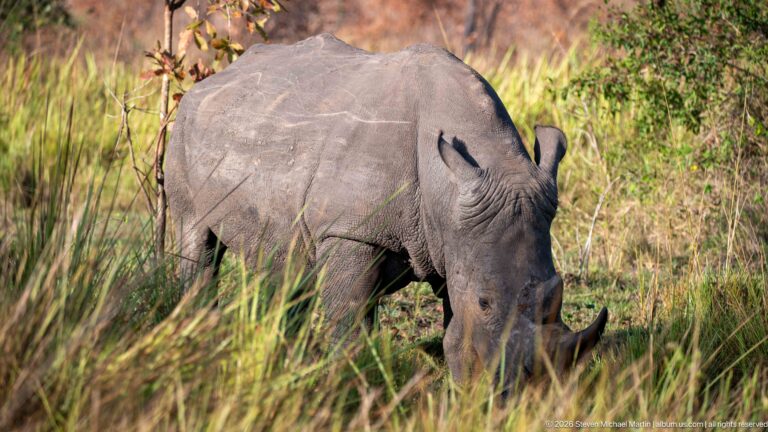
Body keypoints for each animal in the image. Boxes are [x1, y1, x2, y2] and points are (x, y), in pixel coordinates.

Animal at [167, 33, 608, 392]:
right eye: (485, 302)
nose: (530, 392)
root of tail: (210, 80)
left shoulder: (454, 237)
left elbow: (456, 329)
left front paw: (465, 393)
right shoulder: (350, 231)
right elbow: (350, 319)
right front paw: (349, 381)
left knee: (287, 263)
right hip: (183, 128)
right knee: (196, 237)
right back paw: (197, 336)